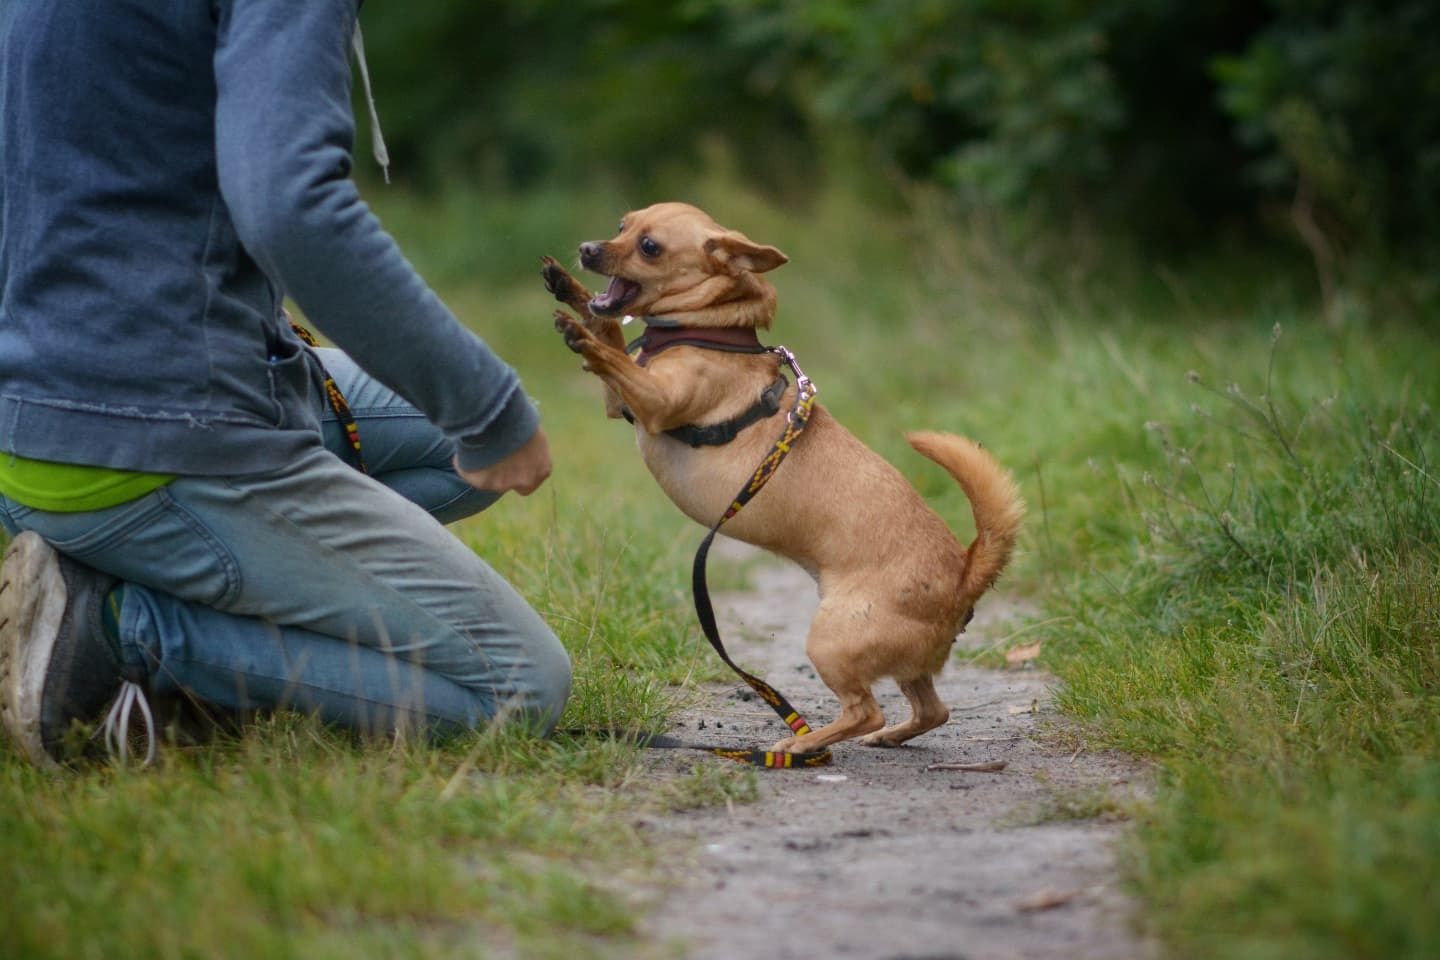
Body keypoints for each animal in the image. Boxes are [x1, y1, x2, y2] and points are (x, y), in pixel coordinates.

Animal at [541, 202, 1025, 754]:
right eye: (623, 225)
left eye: (650, 247)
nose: (587, 250)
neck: (704, 330)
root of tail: (965, 574)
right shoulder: (620, 400)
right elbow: (612, 334)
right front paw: (569, 289)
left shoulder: (656, 403)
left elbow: (612, 353)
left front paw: (580, 334)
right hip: (899, 659)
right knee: (931, 709)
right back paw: (885, 738)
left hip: (832, 640)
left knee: (866, 710)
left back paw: (803, 744)